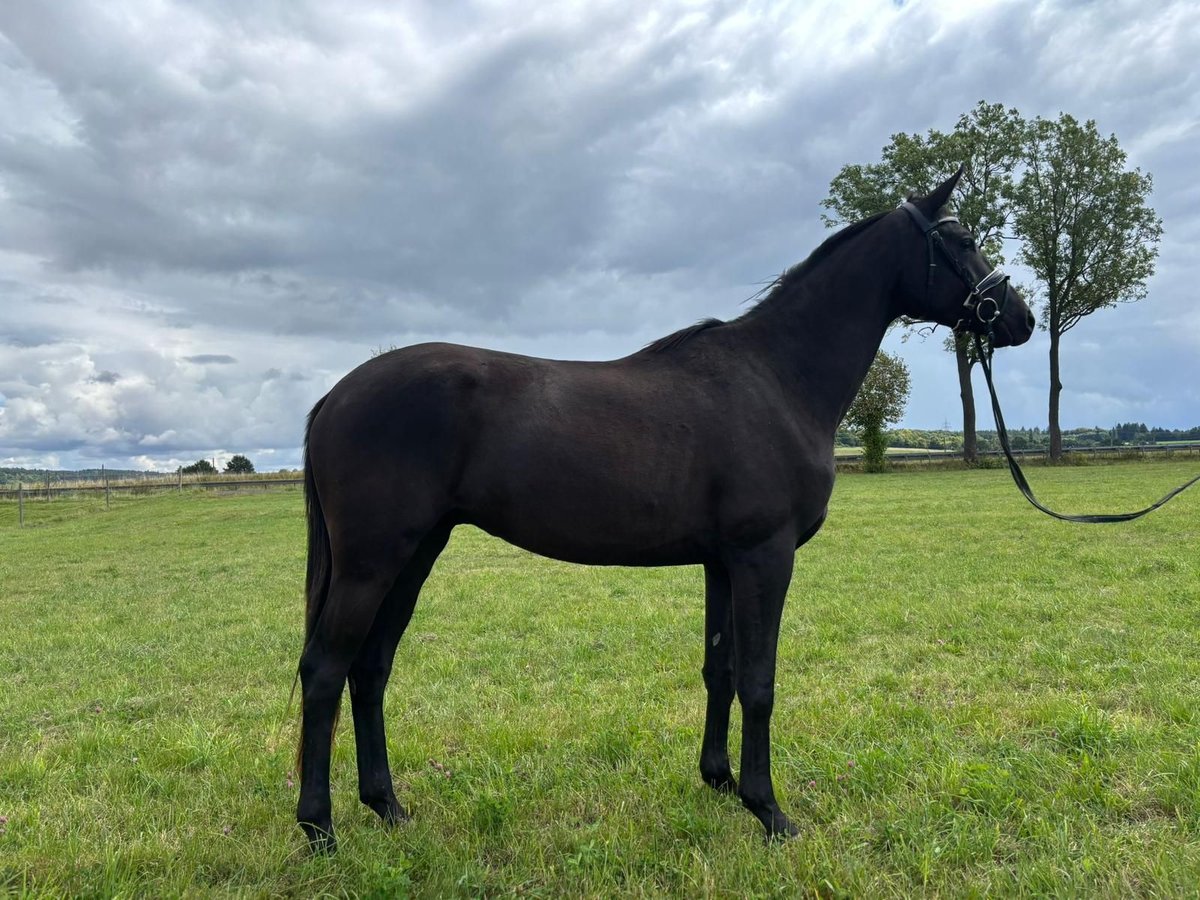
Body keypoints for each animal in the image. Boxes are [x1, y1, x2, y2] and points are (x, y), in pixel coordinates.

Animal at [295, 169, 1035, 851]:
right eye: (963, 241)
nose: (1021, 318)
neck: (777, 378)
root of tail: (336, 395)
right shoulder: (765, 556)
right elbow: (760, 682)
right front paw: (770, 812)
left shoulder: (722, 562)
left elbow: (721, 669)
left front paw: (720, 781)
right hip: (372, 563)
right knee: (326, 670)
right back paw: (319, 826)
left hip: (415, 555)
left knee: (370, 669)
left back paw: (387, 807)